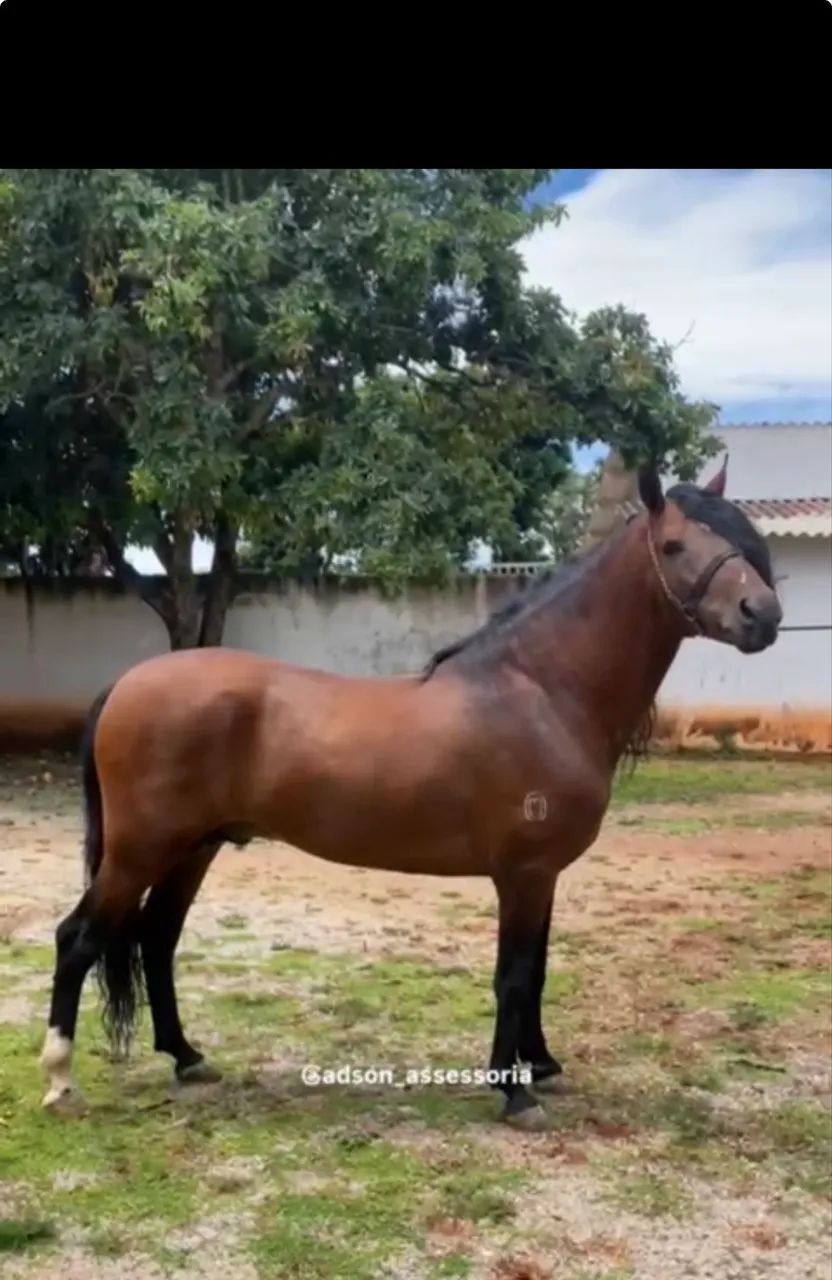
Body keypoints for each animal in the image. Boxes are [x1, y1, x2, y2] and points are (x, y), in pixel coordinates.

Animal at [40, 459, 781, 1129]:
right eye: (675, 545)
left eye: (740, 541)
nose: (762, 614)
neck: (542, 689)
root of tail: (126, 684)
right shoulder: (525, 873)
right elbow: (515, 975)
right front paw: (515, 1093)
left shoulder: (542, 876)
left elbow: (537, 970)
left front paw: (540, 1066)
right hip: (140, 850)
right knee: (78, 938)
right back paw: (59, 1079)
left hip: (194, 848)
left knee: (157, 937)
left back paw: (187, 1057)